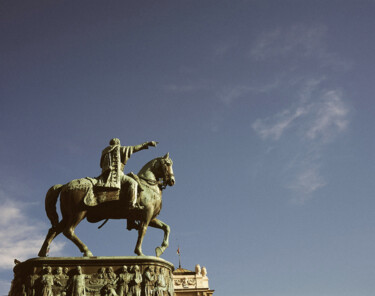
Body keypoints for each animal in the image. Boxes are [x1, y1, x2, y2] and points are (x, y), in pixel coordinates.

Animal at [37, 154, 176, 258]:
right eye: (167, 164)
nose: (172, 181)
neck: (148, 186)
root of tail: (65, 185)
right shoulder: (146, 214)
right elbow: (143, 231)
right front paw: (139, 252)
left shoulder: (151, 217)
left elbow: (166, 228)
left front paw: (161, 249)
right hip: (79, 213)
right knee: (68, 231)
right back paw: (87, 251)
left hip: (67, 215)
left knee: (53, 230)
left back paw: (42, 253)